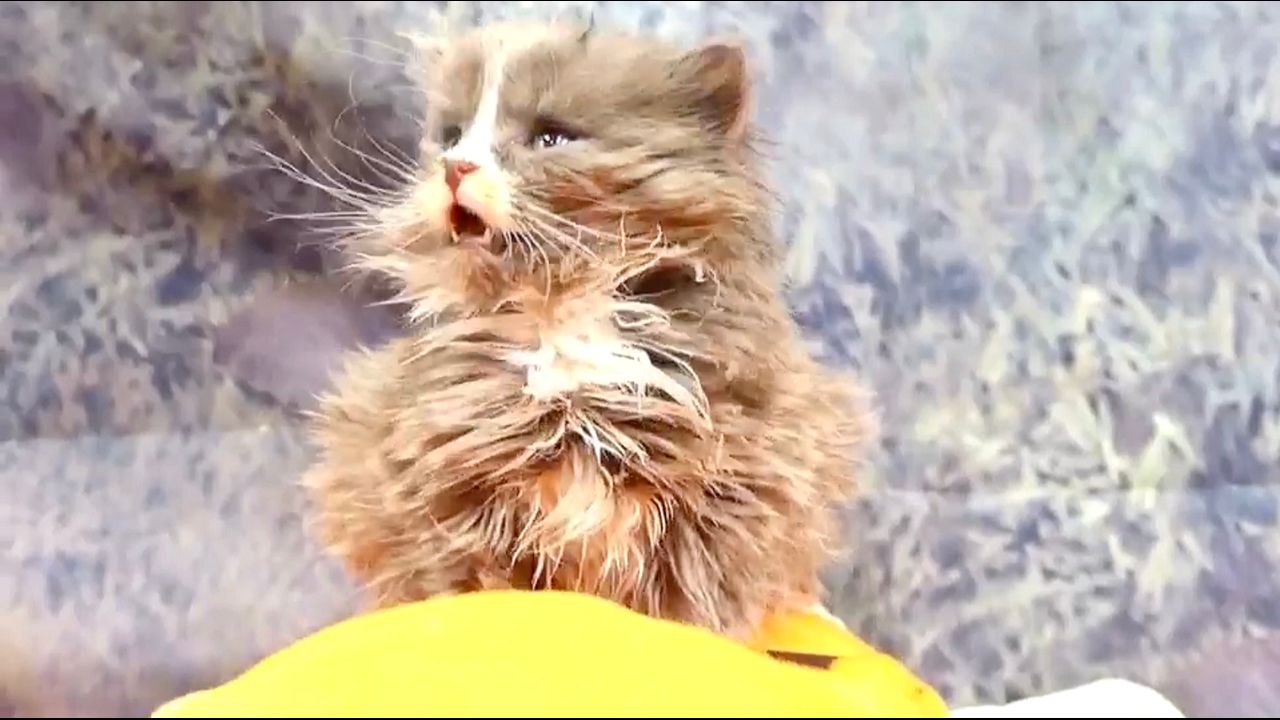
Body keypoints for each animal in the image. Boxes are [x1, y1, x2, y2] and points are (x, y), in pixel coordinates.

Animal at [299, 20, 874, 639]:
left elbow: (696, 600)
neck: (563, 319)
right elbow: (468, 579)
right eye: (451, 136)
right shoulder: (438, 477)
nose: (456, 168)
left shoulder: (739, 486)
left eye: (551, 138)